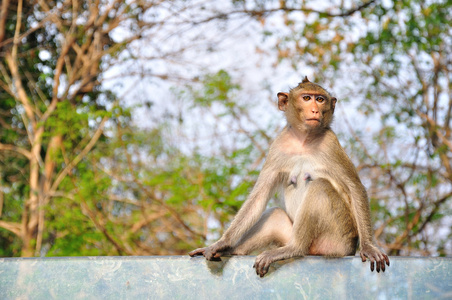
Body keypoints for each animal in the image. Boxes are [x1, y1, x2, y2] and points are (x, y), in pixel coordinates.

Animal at [189, 77, 390, 276]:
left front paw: (368, 247)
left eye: (320, 99)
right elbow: (258, 197)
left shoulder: (330, 144)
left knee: (320, 186)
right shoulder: (278, 146)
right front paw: (221, 244)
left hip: (338, 240)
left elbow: (354, 187)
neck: (304, 140)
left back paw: (294, 248)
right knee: (275, 214)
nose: (315, 110)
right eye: (307, 98)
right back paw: (231, 251)